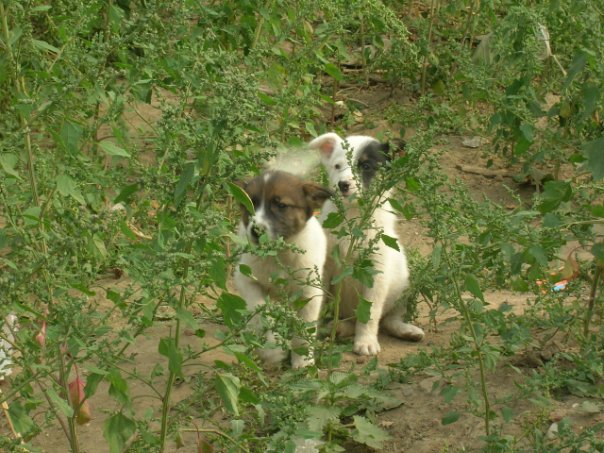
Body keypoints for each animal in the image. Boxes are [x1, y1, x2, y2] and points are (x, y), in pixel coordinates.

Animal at [234, 170, 332, 368]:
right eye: (250, 204)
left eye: (281, 205)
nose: (256, 230)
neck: (278, 254)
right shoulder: (245, 278)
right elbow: (259, 309)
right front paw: (272, 348)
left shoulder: (309, 293)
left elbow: (305, 328)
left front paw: (303, 361)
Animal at [309, 132, 424, 356]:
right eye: (337, 166)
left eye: (366, 166)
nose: (342, 185)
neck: (354, 217)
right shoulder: (326, 267)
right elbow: (319, 302)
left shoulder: (376, 273)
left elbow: (370, 313)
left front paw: (366, 341)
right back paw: (336, 327)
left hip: (405, 286)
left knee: (388, 319)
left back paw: (406, 330)